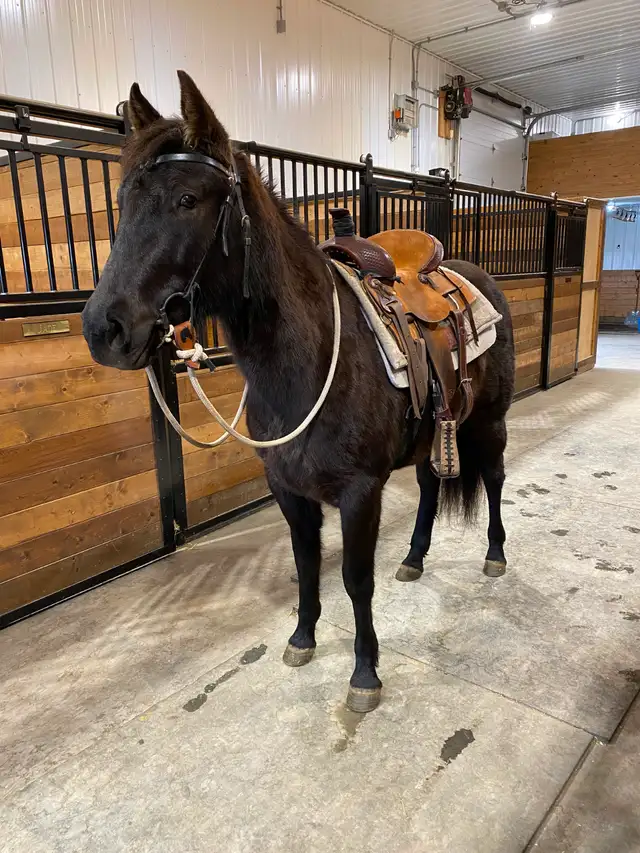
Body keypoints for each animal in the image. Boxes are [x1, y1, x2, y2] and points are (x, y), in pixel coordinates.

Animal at [82, 71, 515, 713]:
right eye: (124, 201)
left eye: (188, 200)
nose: (103, 330)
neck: (304, 364)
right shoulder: (287, 488)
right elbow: (306, 563)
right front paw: (303, 637)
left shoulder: (360, 493)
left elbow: (354, 579)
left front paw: (365, 673)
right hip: (434, 432)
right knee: (432, 487)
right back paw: (413, 558)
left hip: (488, 422)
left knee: (493, 478)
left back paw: (495, 555)